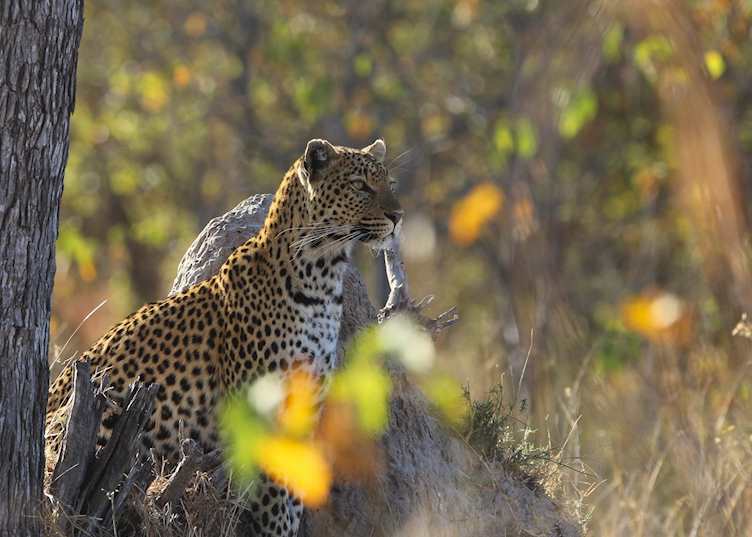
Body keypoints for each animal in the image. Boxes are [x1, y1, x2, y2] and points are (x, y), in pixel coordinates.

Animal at [45, 138, 402, 537]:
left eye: (389, 183)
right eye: (361, 186)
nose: (399, 216)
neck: (323, 277)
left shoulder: (305, 407)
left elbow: (292, 494)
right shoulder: (260, 409)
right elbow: (274, 498)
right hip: (105, 406)